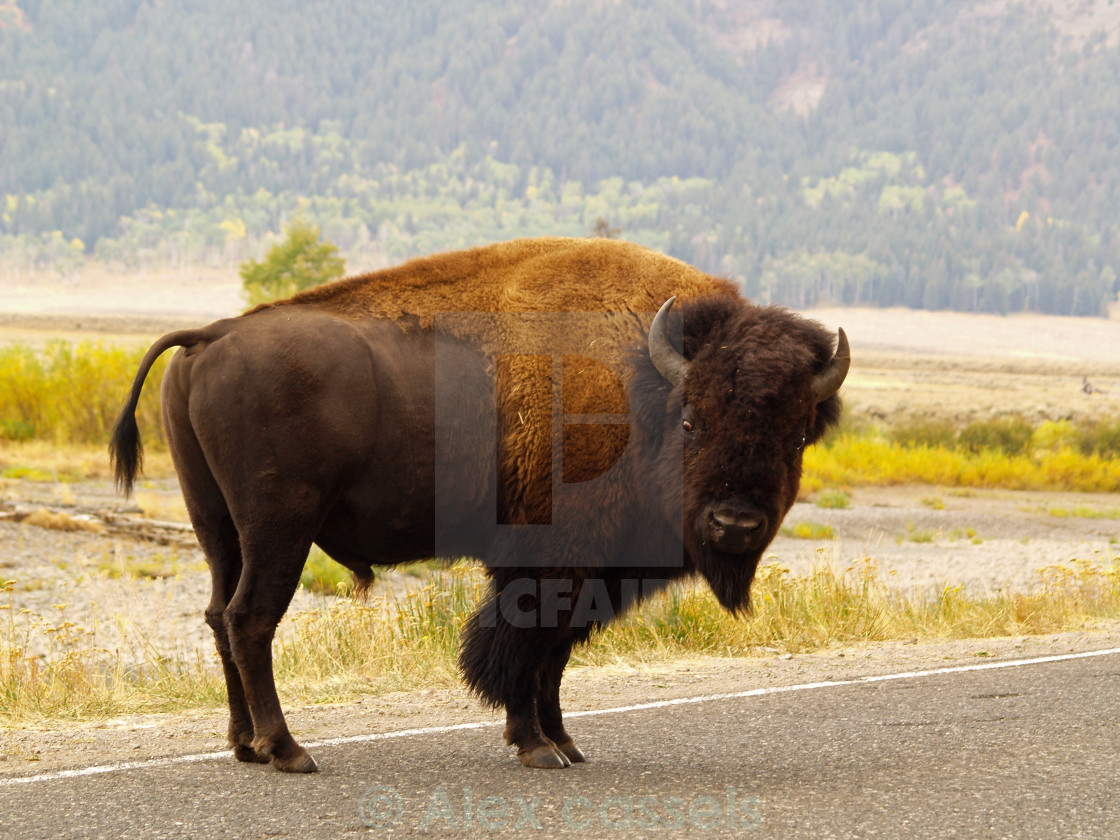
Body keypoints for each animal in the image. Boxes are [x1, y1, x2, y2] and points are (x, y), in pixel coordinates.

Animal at [113, 237, 846, 775]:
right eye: (693, 420)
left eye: (798, 432)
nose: (734, 524)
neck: (642, 383)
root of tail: (209, 336)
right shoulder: (551, 561)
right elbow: (525, 646)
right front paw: (537, 747)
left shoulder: (586, 570)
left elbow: (555, 654)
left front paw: (566, 743)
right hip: (279, 526)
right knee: (250, 618)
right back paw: (289, 752)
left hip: (216, 526)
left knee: (218, 615)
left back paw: (244, 745)